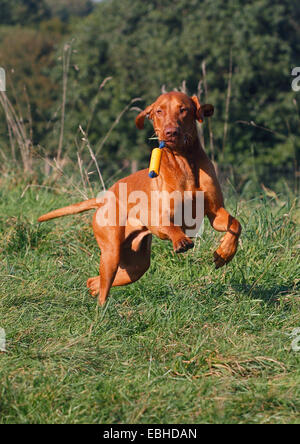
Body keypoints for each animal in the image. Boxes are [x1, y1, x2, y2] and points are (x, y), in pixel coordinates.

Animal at [38, 91, 243, 306]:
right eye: (159, 111)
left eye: (183, 109)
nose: (170, 132)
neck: (184, 163)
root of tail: (104, 198)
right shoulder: (159, 218)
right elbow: (171, 226)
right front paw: (181, 240)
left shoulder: (215, 212)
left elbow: (236, 225)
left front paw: (225, 253)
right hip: (112, 253)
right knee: (103, 287)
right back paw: (102, 311)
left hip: (136, 265)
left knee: (95, 282)